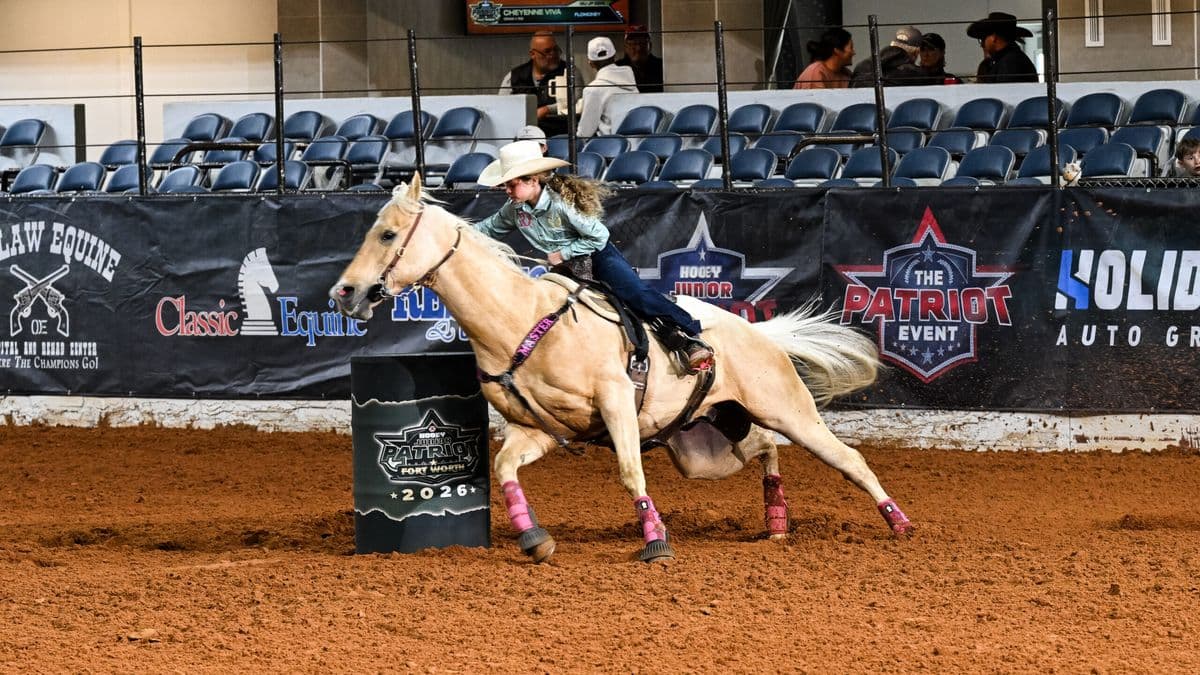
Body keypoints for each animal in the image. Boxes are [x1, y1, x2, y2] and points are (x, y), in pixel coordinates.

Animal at [330, 175, 912, 563]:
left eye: (387, 234)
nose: (344, 293)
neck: (521, 320)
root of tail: (757, 335)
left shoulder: (615, 404)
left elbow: (631, 470)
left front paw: (655, 541)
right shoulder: (534, 429)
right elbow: (504, 469)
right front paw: (534, 539)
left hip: (789, 410)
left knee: (848, 459)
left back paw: (899, 523)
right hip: (703, 446)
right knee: (765, 449)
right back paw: (775, 521)